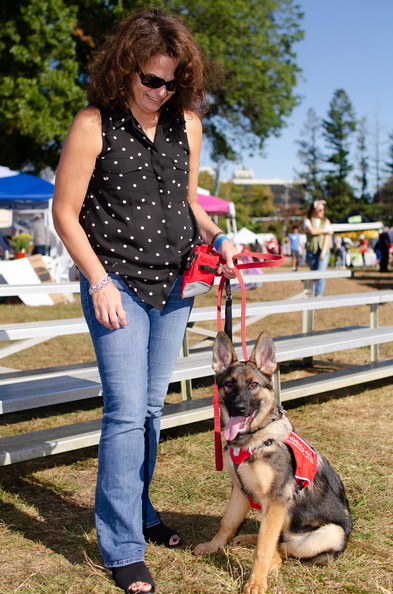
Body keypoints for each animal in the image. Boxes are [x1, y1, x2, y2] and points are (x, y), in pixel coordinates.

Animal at [194, 328, 350, 592]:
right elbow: (228, 523)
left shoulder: (276, 502)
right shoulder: (240, 491)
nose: (239, 408)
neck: (254, 440)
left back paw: (273, 561)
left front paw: (256, 582)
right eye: (229, 384)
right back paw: (247, 538)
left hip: (329, 533)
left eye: (254, 384)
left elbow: (264, 547)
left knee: (283, 547)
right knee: (275, 539)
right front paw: (214, 546)